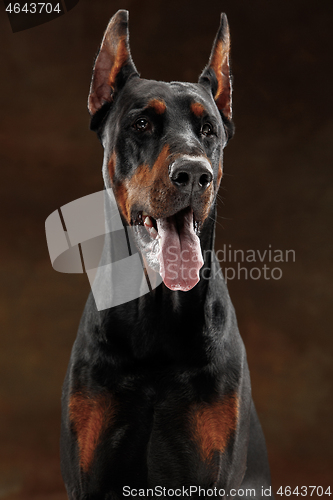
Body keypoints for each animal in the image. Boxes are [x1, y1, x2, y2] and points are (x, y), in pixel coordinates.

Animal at [59, 8, 272, 500]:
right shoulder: (88, 471)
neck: (155, 318)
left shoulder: (211, 470)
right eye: (141, 124)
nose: (194, 174)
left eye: (209, 129)